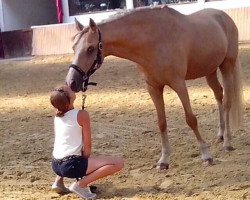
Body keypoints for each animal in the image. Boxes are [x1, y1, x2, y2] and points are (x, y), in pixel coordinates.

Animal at [65, 5, 242, 170]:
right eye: (73, 47)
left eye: (90, 48)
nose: (71, 82)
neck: (155, 41)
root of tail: (223, 16)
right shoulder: (153, 87)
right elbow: (161, 122)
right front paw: (164, 160)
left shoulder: (179, 84)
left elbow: (191, 119)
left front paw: (206, 155)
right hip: (210, 71)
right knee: (219, 95)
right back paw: (220, 134)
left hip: (227, 66)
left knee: (227, 102)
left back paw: (227, 142)